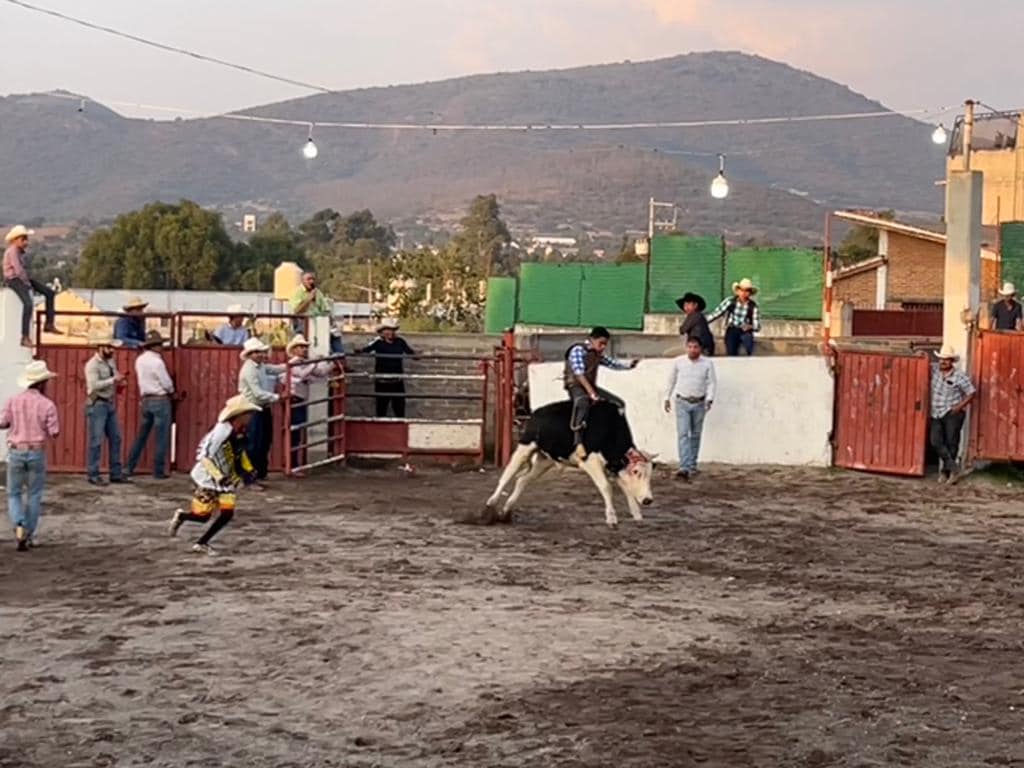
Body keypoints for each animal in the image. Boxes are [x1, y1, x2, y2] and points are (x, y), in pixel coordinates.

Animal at [485, 399, 655, 528]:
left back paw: (506, 510)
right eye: (636, 471)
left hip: (544, 460)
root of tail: (535, 414)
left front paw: (637, 514)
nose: (648, 500)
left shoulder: (614, 466)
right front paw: (612, 518)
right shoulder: (591, 462)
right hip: (525, 446)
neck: (609, 430)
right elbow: (606, 487)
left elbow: (626, 488)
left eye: (649, 474)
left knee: (522, 480)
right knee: (507, 475)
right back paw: (490, 504)